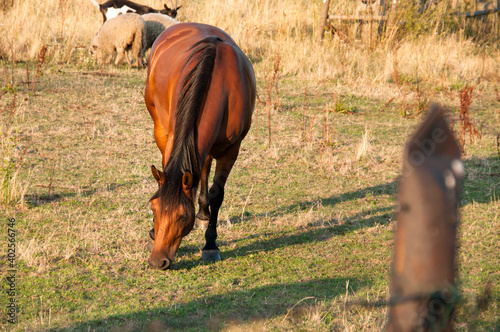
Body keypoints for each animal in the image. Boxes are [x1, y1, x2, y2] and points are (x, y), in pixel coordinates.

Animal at [144, 22, 254, 270]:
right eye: (154, 210)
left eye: (183, 217)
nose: (157, 261)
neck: (220, 85)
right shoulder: (174, 138)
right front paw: (153, 234)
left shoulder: (231, 151)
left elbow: (216, 194)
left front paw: (210, 245)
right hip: (159, 125)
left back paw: (204, 214)